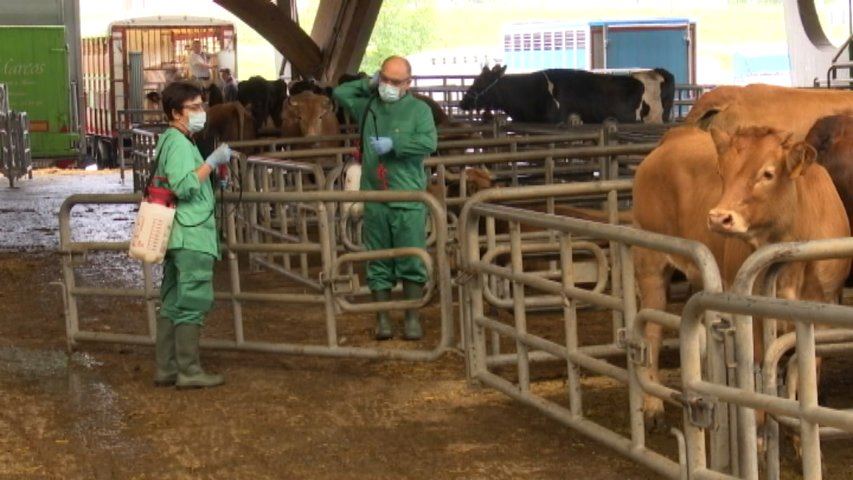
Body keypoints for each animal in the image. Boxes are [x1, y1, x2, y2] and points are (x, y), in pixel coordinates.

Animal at [628, 124, 848, 432]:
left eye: (768, 173)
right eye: (722, 172)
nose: (719, 217)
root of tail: (675, 135)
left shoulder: (821, 314)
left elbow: (806, 386)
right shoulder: (751, 318)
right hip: (651, 262)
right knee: (651, 332)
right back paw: (652, 406)